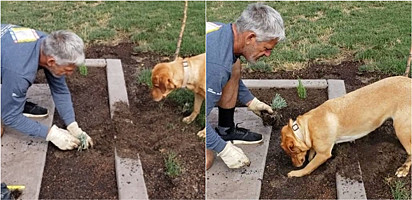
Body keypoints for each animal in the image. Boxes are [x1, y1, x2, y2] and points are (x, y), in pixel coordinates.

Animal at [282, 76, 410, 177]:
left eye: (292, 153)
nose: (295, 165)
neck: (305, 128)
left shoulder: (324, 154)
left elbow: (308, 167)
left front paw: (297, 173)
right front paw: (311, 153)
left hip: (402, 130)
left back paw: (404, 169)